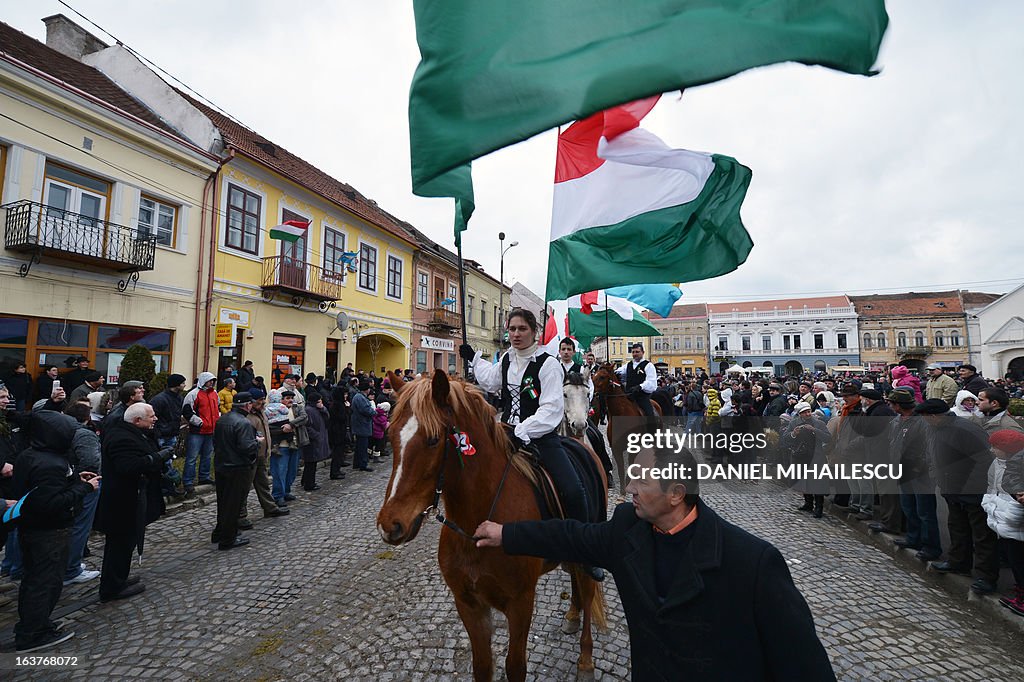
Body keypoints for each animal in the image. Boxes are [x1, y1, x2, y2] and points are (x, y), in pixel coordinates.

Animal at [378, 372, 602, 679]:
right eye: (390, 437)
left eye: (433, 440)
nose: (390, 524)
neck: (476, 526)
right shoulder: (469, 604)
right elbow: (482, 667)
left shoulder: (521, 603)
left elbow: (516, 667)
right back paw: (572, 614)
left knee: (588, 588)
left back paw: (586, 660)